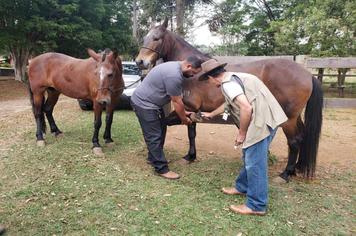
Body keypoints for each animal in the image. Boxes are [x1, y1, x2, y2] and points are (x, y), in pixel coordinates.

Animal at [135, 19, 324, 182]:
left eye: (157, 38)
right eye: (145, 38)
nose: (140, 62)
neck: (192, 74)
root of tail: (308, 74)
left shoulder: (188, 107)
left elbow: (172, 127)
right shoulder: (193, 110)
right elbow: (190, 133)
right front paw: (190, 156)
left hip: (288, 119)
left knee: (294, 141)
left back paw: (286, 174)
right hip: (295, 117)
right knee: (302, 135)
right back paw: (297, 168)